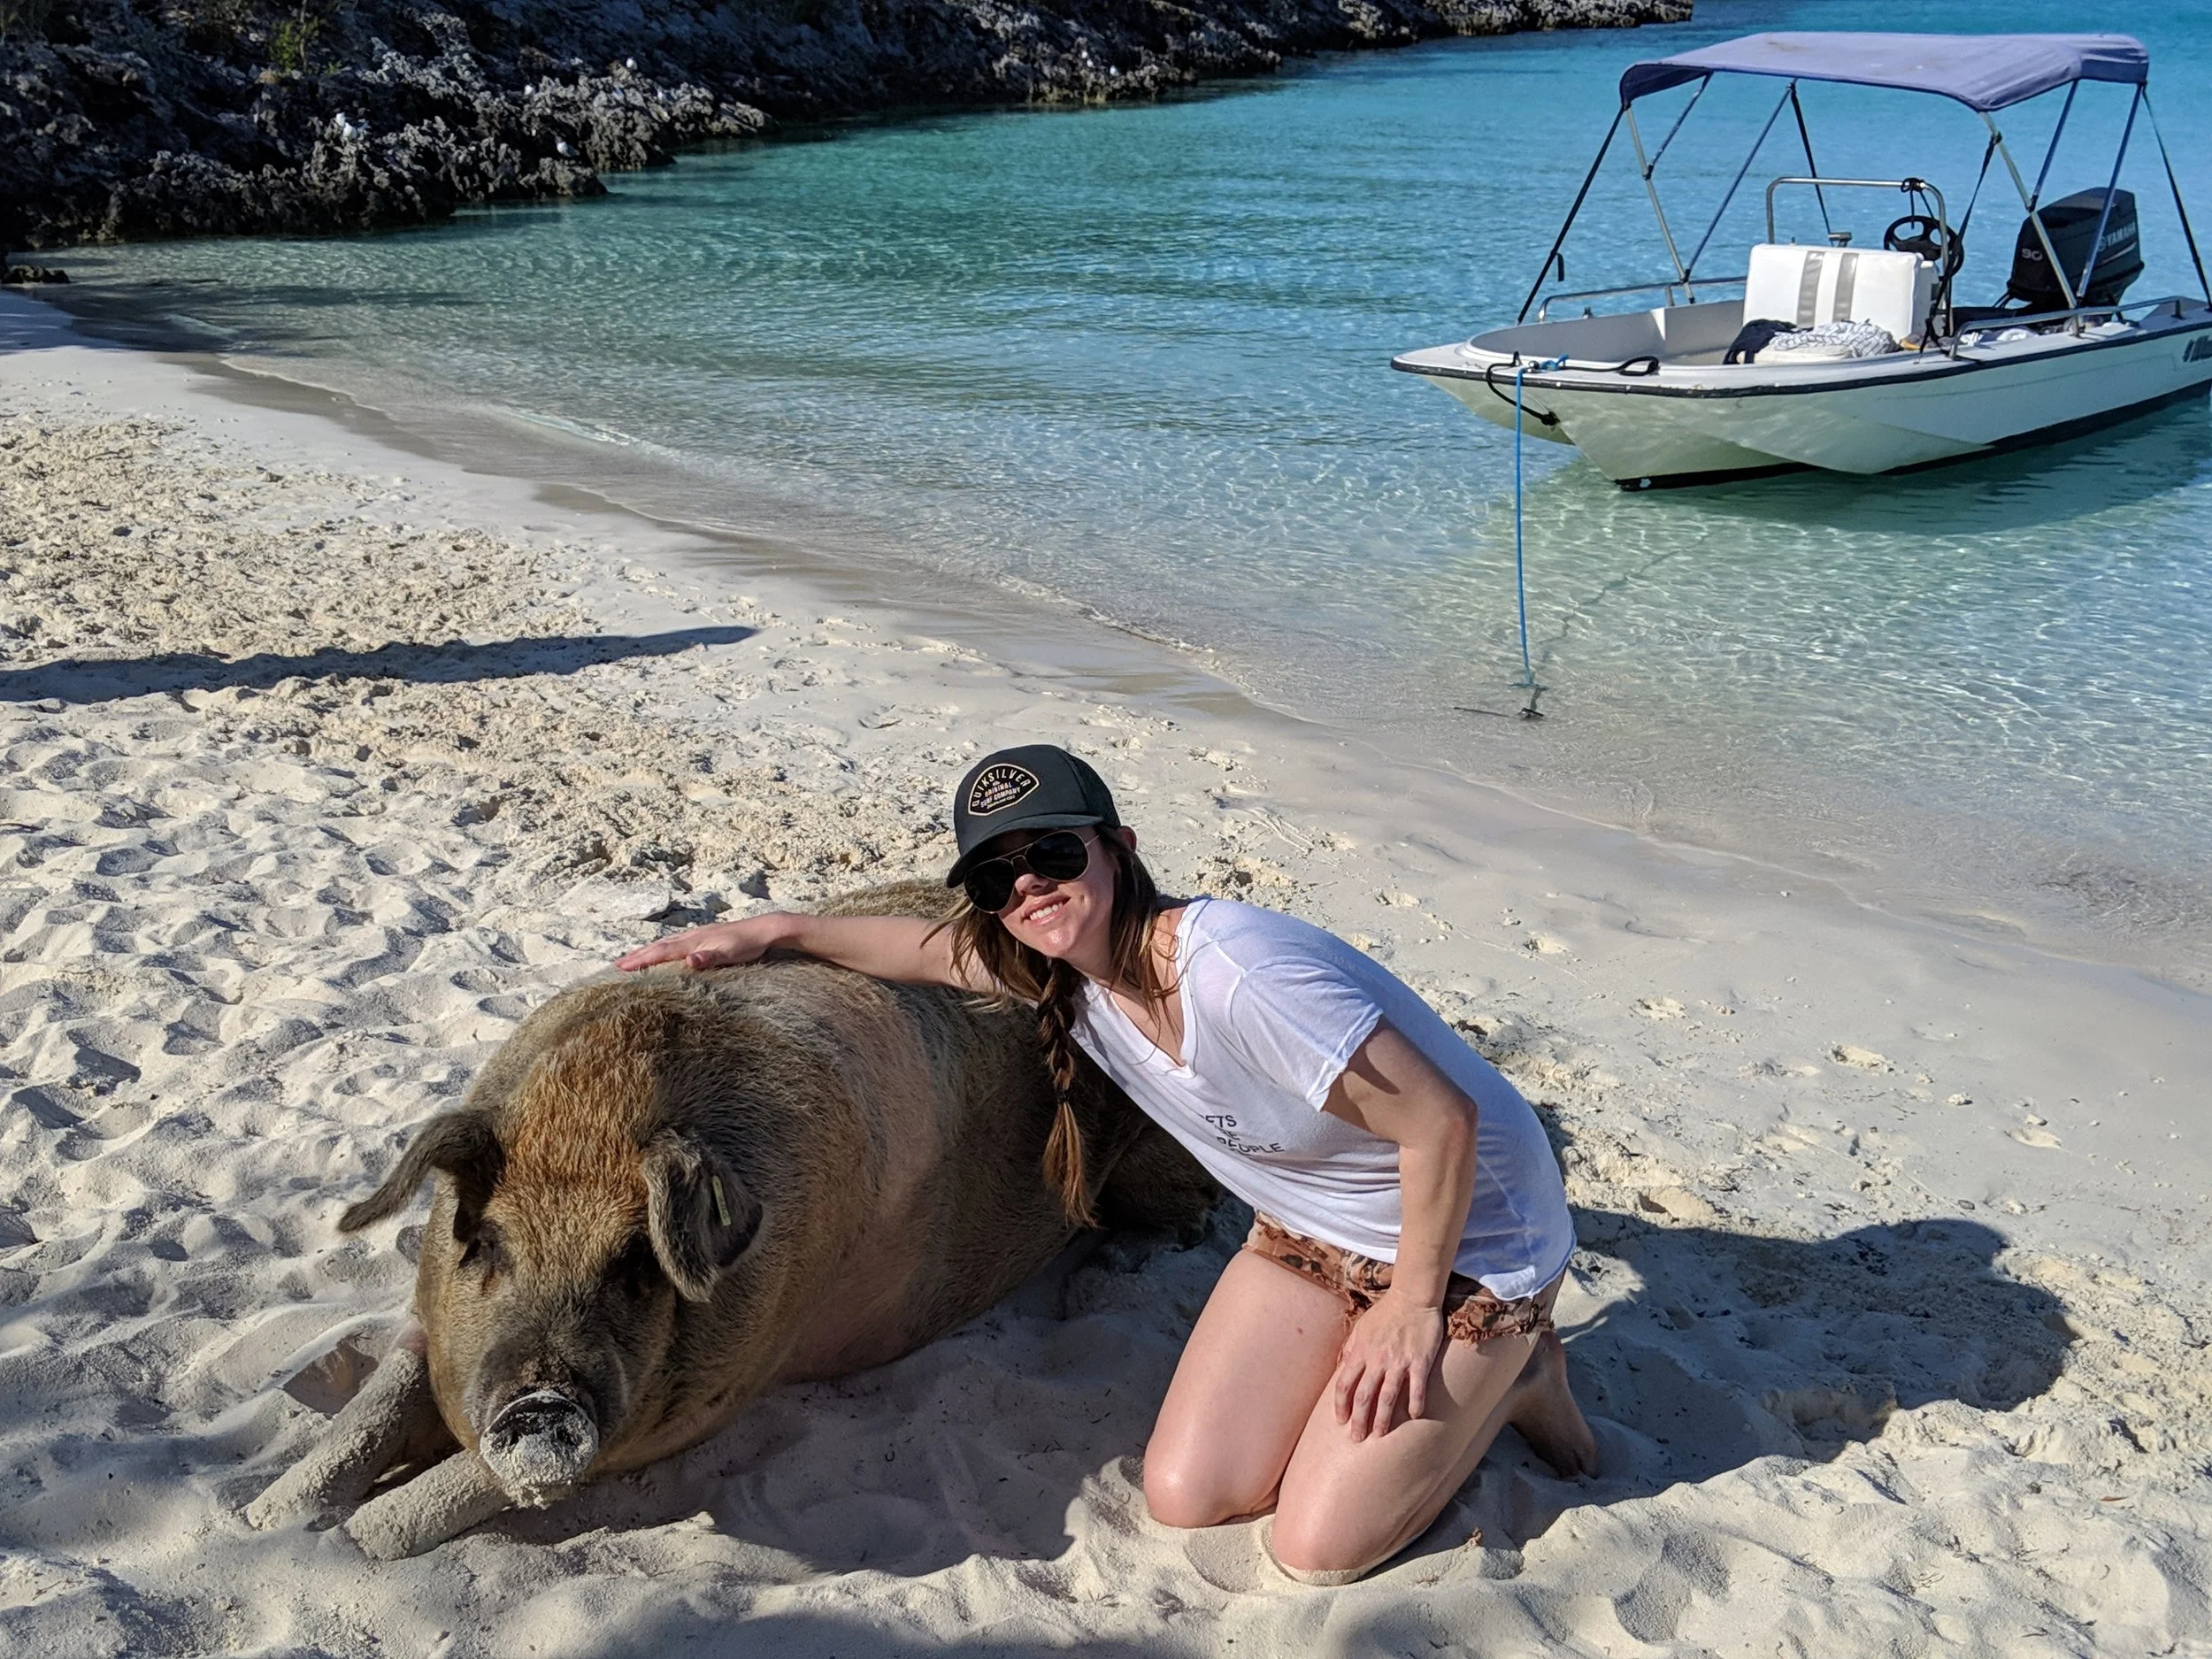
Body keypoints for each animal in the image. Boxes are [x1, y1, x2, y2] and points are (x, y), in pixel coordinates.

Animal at [247, 881, 1215, 1559]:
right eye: (482, 1242)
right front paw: (263, 1521)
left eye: (637, 1263)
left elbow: (435, 1497)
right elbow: (368, 1413)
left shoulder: (695, 1405)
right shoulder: (431, 1329)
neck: (593, 1111)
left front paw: (343, 1541)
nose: (541, 1406)